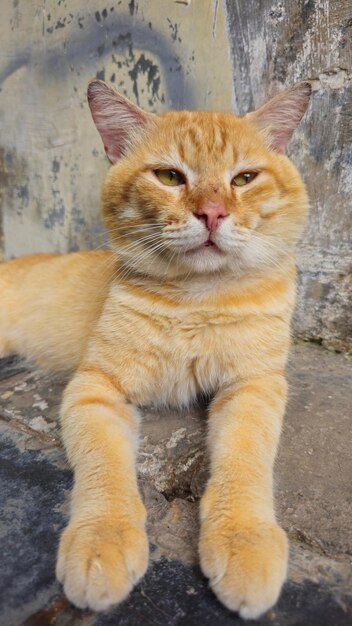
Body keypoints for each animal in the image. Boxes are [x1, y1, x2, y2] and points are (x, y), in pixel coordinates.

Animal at [0, 80, 310, 616]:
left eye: (245, 178)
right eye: (169, 176)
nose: (212, 214)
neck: (197, 298)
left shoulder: (254, 386)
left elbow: (245, 460)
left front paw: (244, 541)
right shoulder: (95, 387)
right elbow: (104, 467)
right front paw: (102, 542)